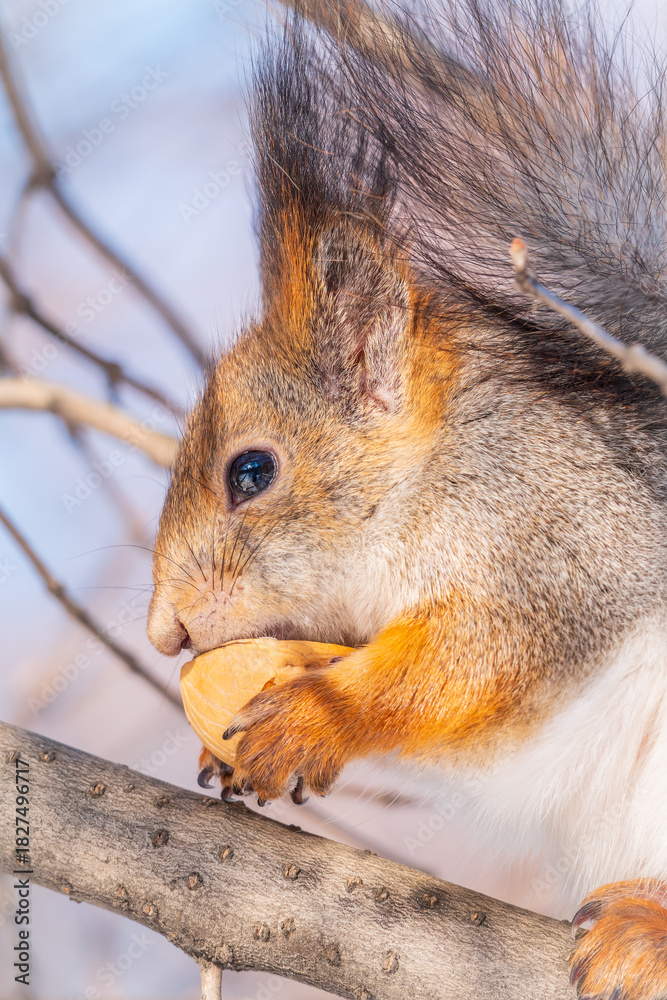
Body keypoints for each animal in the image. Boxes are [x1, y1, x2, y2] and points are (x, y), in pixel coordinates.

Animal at [147, 1, 667, 996]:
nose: (165, 632)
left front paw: (318, 715)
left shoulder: (564, 532)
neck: (423, 483)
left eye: (250, 472)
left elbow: (477, 656)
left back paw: (647, 930)